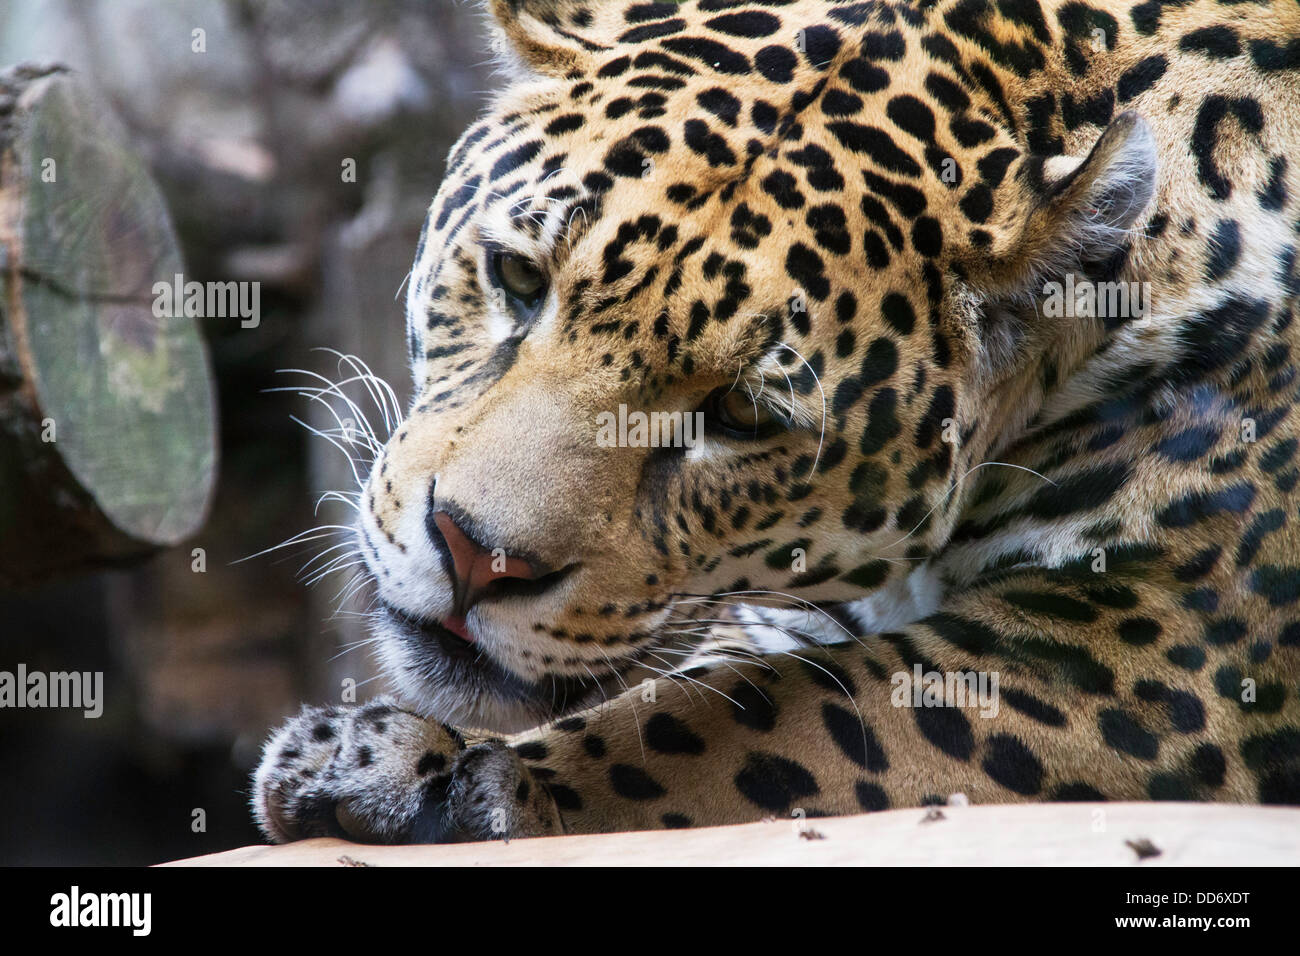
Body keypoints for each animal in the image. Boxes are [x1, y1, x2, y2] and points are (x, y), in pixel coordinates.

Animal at [253, 0, 1300, 845]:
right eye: (516, 276)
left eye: (737, 414)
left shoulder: (1141, 653)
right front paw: (374, 755)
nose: (473, 556)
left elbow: (739, 718)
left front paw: (486, 781)